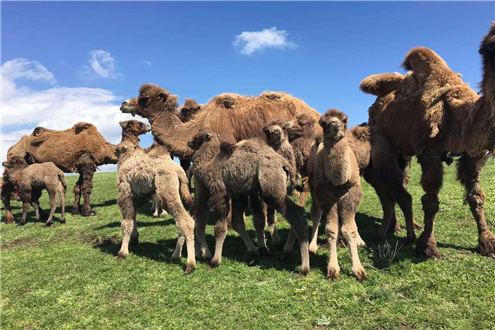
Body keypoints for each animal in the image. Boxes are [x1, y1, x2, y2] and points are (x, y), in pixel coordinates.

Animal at [116, 120, 196, 274]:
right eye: (139, 123)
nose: (148, 126)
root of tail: (179, 172)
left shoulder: (126, 192)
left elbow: (126, 222)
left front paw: (122, 252)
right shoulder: (138, 195)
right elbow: (133, 217)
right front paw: (134, 239)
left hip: (166, 191)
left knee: (185, 221)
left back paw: (190, 264)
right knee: (180, 222)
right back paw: (175, 255)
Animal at [310, 109, 368, 280]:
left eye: (345, 120)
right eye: (323, 123)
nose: (335, 125)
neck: (338, 181)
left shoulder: (351, 192)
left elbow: (350, 229)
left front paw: (358, 269)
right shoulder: (325, 193)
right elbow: (331, 229)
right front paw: (333, 269)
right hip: (313, 188)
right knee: (316, 213)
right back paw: (312, 246)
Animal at [358, 25, 495, 258]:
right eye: (489, 46)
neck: (459, 116)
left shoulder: (471, 154)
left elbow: (476, 197)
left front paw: (487, 242)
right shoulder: (429, 151)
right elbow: (431, 201)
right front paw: (428, 247)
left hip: (404, 152)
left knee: (401, 182)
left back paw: (409, 225)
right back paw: (396, 227)